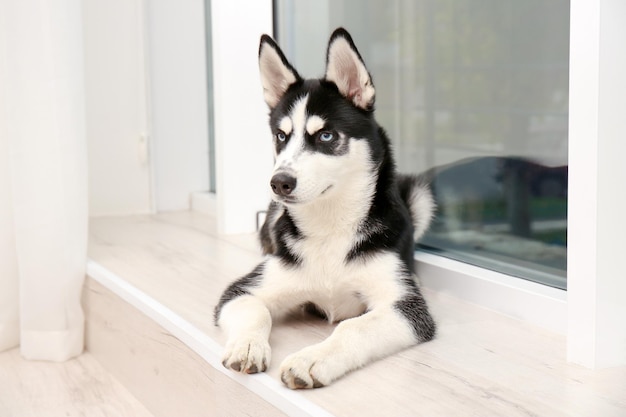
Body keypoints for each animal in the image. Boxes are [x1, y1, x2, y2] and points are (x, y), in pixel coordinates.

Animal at [214, 27, 434, 388]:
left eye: (326, 136)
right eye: (281, 136)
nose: (279, 183)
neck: (331, 225)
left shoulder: (407, 307)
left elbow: (354, 327)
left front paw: (312, 359)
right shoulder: (242, 290)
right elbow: (253, 309)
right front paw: (247, 345)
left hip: (420, 197)